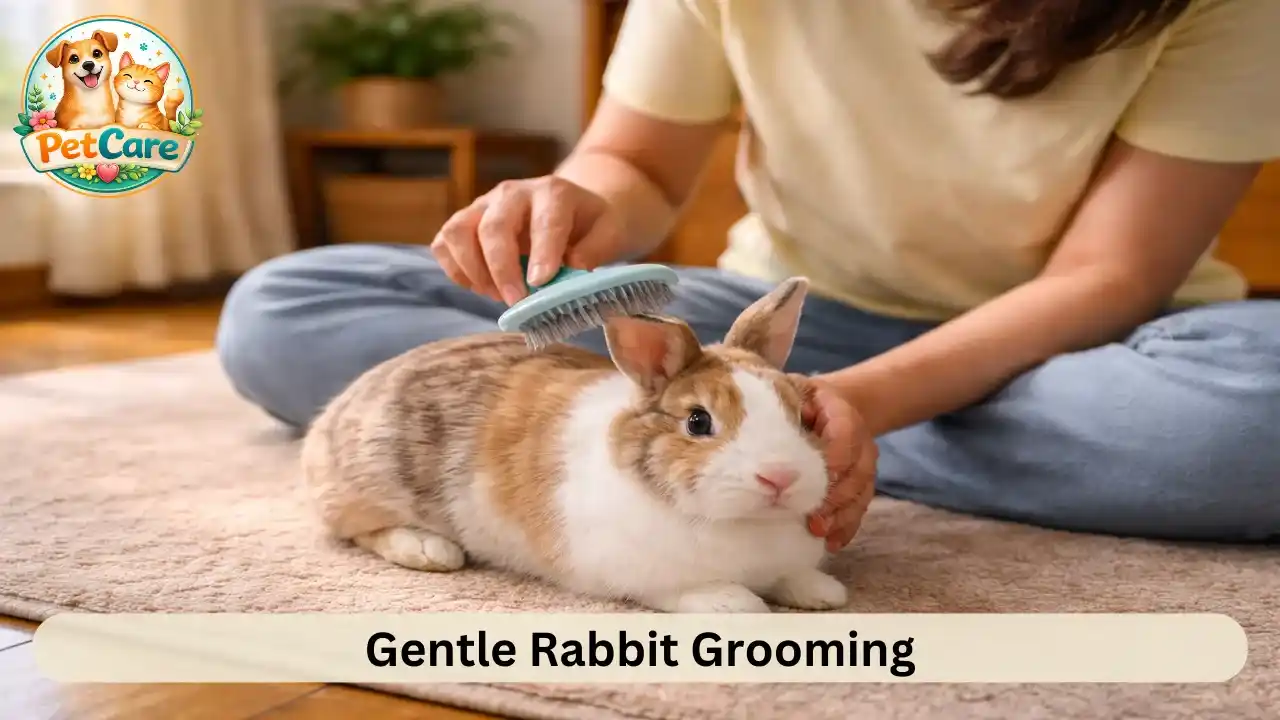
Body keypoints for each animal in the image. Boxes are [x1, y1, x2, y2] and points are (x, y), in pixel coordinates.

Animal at [301, 276, 848, 613]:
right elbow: (695, 592)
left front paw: (825, 593)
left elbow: (793, 577)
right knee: (356, 530)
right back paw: (429, 549)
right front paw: (737, 604)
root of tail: (331, 416)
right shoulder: (646, 575)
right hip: (371, 485)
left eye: (802, 414)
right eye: (697, 421)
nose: (781, 476)